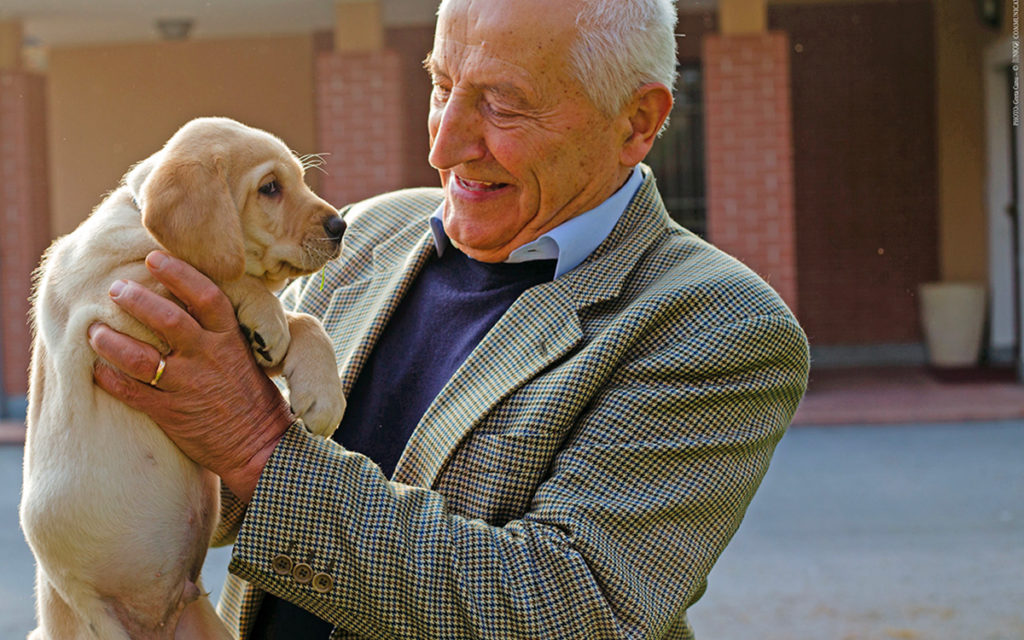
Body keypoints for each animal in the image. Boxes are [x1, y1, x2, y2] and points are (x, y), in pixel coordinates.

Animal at [19, 117, 346, 634]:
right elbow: (215, 273)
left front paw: (324, 394)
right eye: (270, 188)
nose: (340, 226)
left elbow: (305, 321)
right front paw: (266, 313)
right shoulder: (109, 306)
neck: (142, 227)